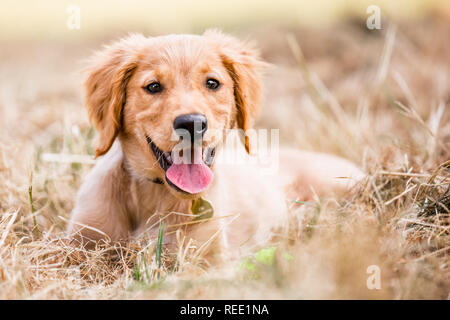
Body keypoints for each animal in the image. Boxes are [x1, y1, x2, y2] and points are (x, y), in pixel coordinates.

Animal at [66, 29, 362, 260]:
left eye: (212, 83)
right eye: (153, 87)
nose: (192, 124)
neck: (155, 195)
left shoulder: (210, 259)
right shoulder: (80, 240)